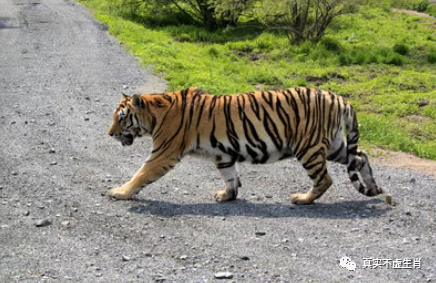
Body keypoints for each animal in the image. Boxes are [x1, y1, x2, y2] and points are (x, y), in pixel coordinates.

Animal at [107, 87, 384, 205]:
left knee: (325, 179)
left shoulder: (163, 153)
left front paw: (119, 192)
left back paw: (303, 199)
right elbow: (230, 177)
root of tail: (339, 98)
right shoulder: (223, 155)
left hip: (309, 148)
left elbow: (140, 174)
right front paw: (227, 196)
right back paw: (374, 187)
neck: (155, 115)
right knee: (361, 156)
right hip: (334, 145)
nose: (110, 134)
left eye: (121, 118)